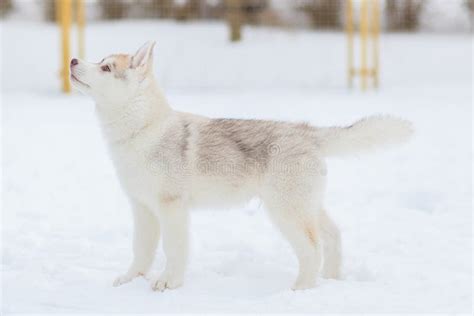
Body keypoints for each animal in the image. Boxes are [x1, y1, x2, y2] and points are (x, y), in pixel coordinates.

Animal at [68, 41, 412, 292]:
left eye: (106, 67)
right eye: (100, 59)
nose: (72, 60)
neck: (142, 132)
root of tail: (306, 131)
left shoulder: (171, 208)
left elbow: (173, 250)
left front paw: (169, 283)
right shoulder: (143, 209)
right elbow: (141, 250)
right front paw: (131, 281)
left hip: (286, 212)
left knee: (312, 248)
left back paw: (300, 290)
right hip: (307, 207)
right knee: (333, 237)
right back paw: (330, 280)